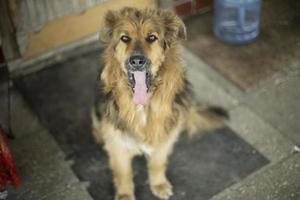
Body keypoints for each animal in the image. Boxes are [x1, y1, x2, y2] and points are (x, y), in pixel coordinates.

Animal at [91, 7, 227, 199]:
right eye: (125, 38)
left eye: (151, 37)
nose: (137, 61)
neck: (143, 107)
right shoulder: (118, 145)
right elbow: (123, 173)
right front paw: (125, 194)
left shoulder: (165, 139)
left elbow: (157, 164)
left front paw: (159, 184)